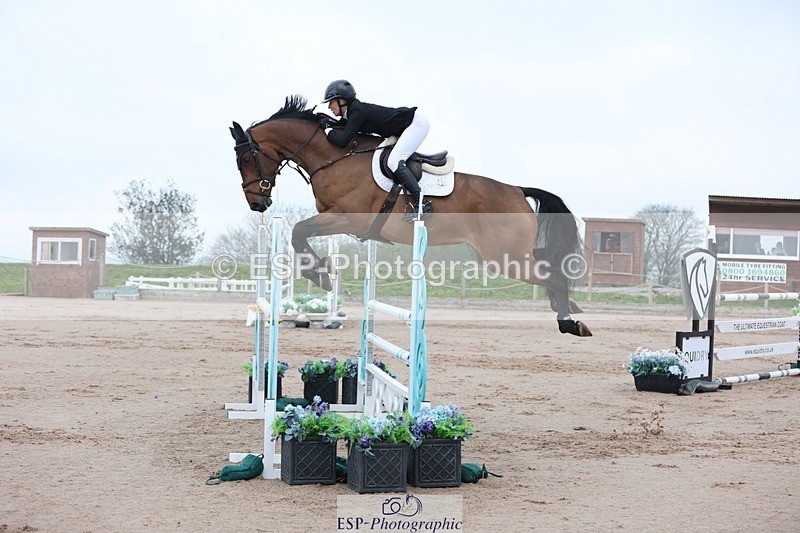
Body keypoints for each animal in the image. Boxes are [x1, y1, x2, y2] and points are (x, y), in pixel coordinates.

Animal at [230, 95, 591, 337]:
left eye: (247, 158)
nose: (257, 204)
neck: (335, 156)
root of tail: (517, 189)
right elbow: (301, 234)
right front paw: (320, 271)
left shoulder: (348, 219)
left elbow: (298, 231)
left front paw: (319, 275)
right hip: (502, 254)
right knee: (550, 269)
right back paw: (568, 308)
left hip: (504, 256)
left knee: (552, 275)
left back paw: (570, 323)